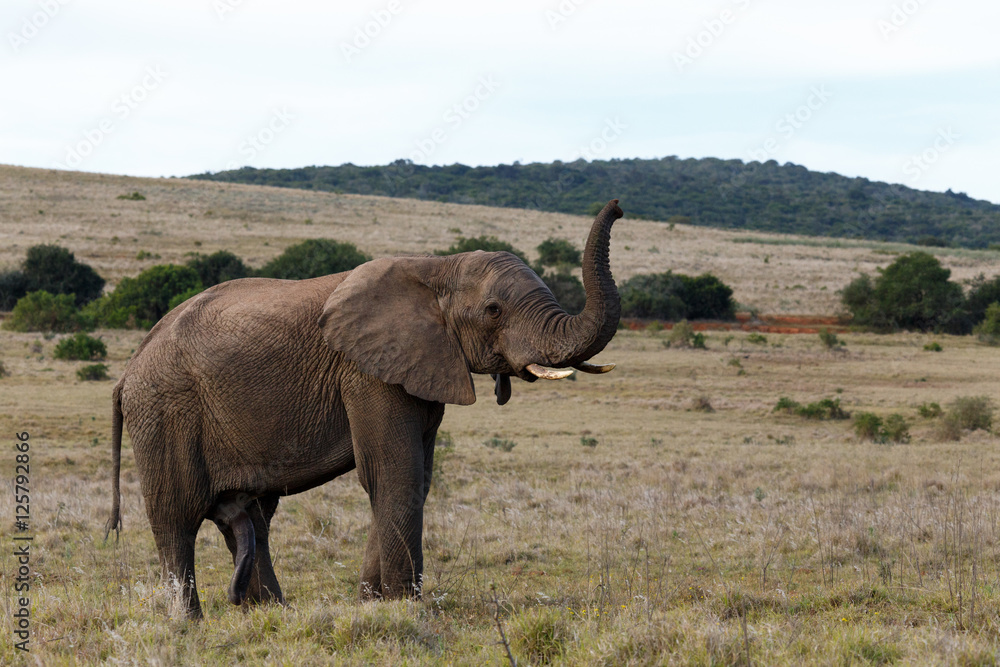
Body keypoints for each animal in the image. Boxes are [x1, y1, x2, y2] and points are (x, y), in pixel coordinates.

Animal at [104, 199, 625, 618]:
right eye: (494, 310)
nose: (618, 206)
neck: (437, 268)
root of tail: (128, 371)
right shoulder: (366, 372)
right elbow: (394, 473)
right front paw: (402, 606)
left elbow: (413, 478)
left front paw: (373, 602)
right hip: (164, 409)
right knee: (176, 519)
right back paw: (189, 623)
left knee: (253, 518)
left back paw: (268, 614)